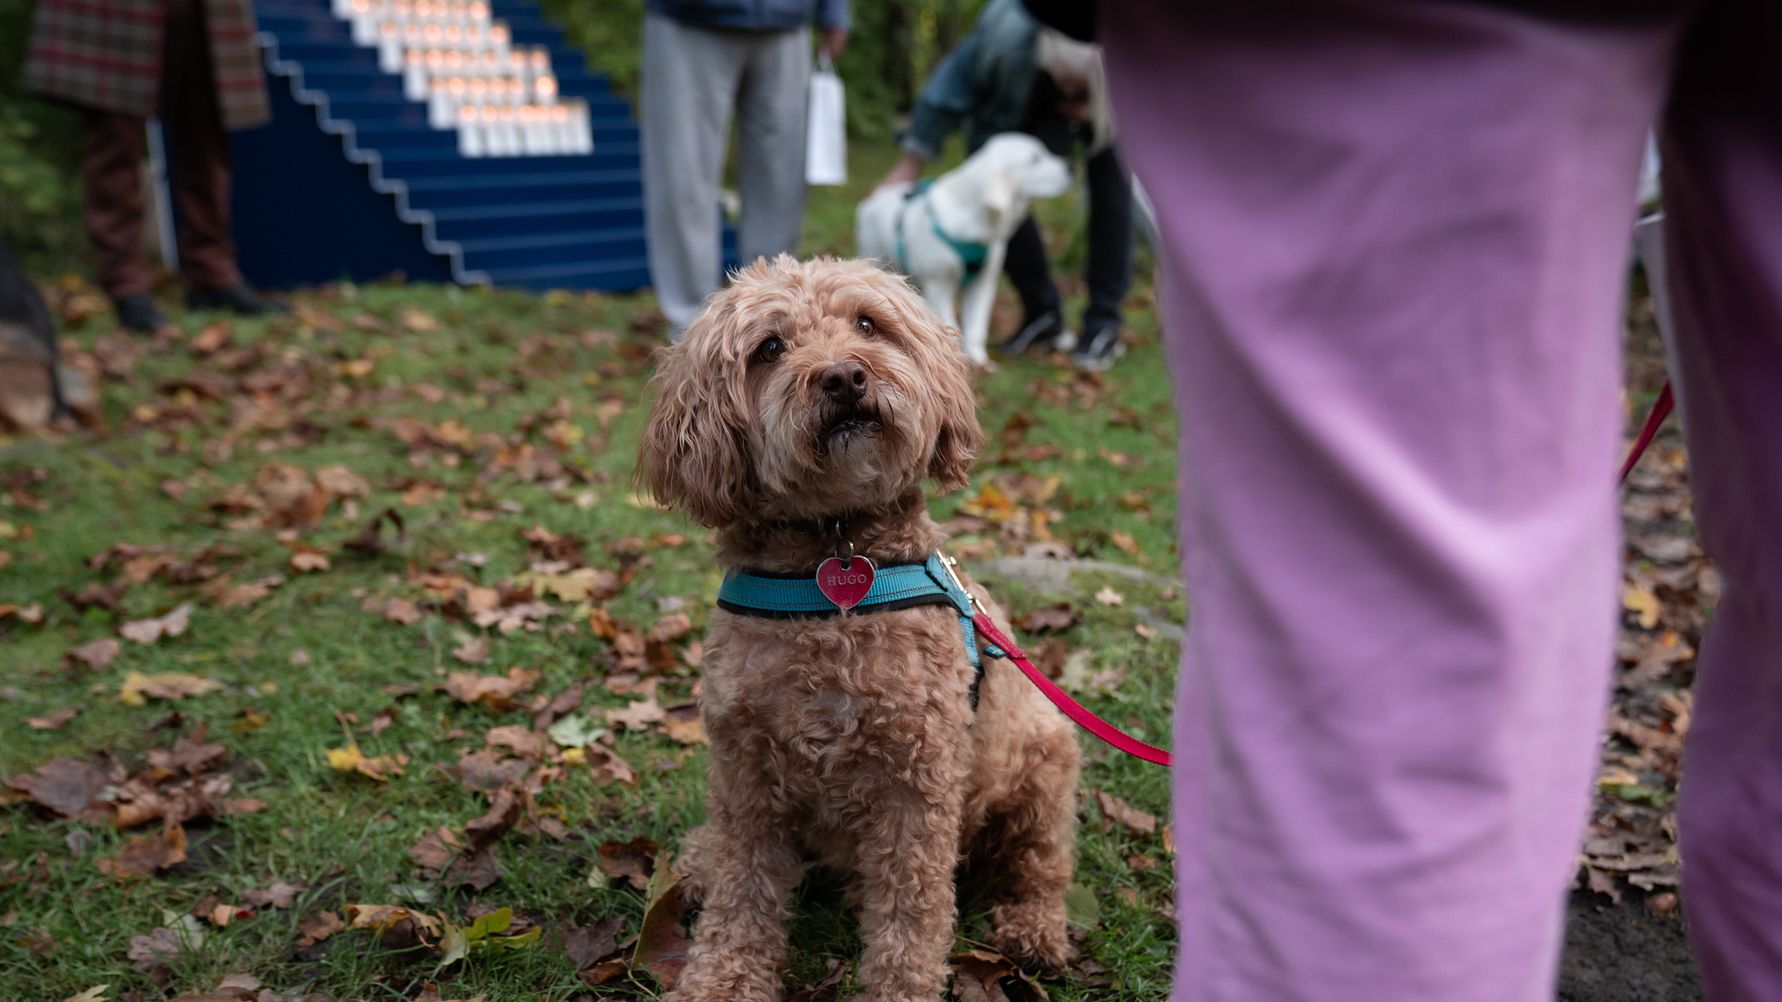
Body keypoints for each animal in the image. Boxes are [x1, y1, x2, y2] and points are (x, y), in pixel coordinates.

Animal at [641, 254, 1083, 998]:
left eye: (868, 325)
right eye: (769, 348)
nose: (844, 377)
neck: (834, 561)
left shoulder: (916, 785)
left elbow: (912, 914)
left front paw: (899, 988)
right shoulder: (746, 775)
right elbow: (741, 892)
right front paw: (722, 981)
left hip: (1045, 764)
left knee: (1040, 866)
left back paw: (1035, 930)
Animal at [855, 134, 1062, 361]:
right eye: (1035, 159)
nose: (1068, 168)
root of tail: (874, 198)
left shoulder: (983, 283)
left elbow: (976, 326)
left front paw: (979, 361)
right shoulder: (939, 284)